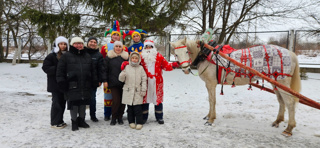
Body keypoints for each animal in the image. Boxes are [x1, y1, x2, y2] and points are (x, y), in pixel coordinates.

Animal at [171, 38, 302, 136]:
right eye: (176, 54)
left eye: (187, 52)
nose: (186, 70)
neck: (206, 54)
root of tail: (290, 53)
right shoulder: (208, 84)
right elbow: (210, 100)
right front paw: (208, 116)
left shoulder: (211, 83)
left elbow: (213, 101)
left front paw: (211, 119)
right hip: (275, 83)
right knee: (281, 101)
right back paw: (277, 121)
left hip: (282, 82)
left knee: (290, 103)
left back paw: (289, 128)